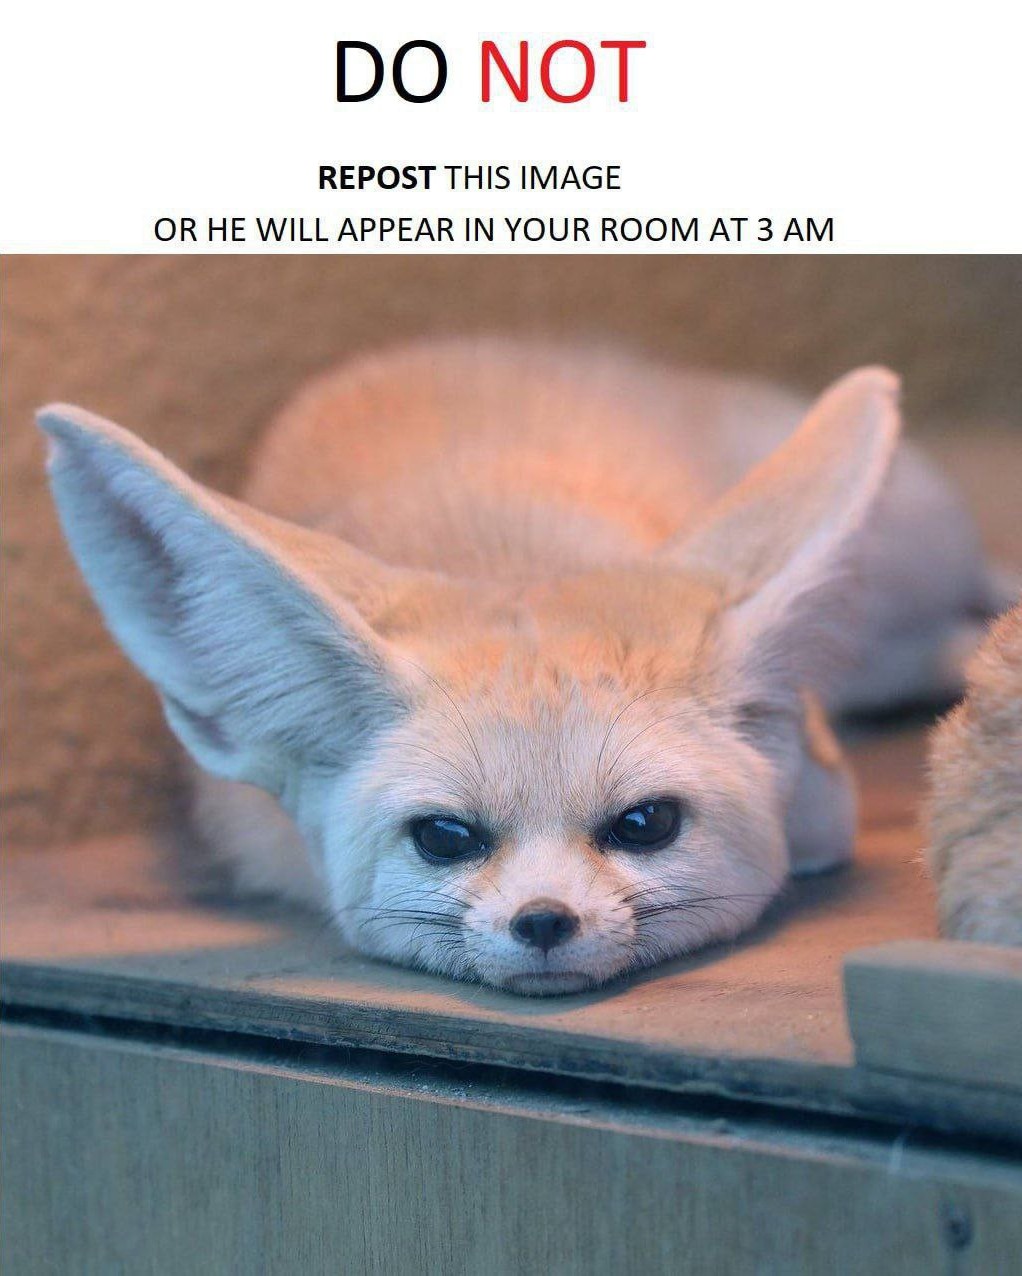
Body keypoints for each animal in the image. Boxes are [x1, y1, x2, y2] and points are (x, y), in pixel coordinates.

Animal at [39, 339, 1006, 995]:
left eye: (645, 824)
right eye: (445, 837)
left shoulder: (826, 798)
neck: (511, 546)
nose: (544, 920)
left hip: (915, 558)